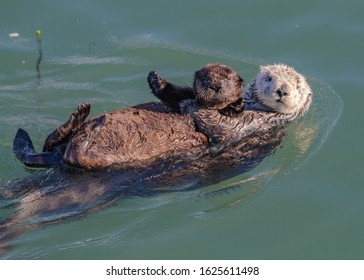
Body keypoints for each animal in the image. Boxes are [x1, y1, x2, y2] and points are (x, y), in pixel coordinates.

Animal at [12, 63, 312, 170]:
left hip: (95, 159)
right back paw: (81, 116)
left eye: (297, 85)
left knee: (74, 155)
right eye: (269, 77)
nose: (282, 90)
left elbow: (215, 121)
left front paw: (229, 105)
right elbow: (179, 97)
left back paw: (89, 123)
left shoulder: (252, 126)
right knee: (51, 144)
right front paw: (156, 81)